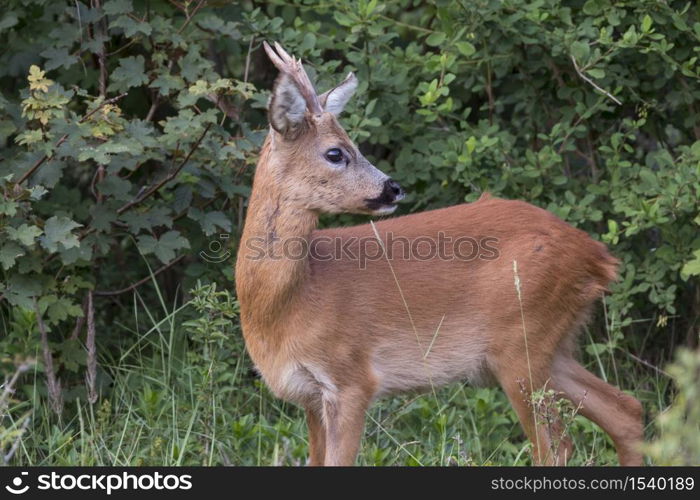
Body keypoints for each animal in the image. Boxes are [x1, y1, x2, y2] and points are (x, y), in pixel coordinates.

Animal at [237, 41, 644, 466]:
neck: (289, 302)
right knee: (625, 410)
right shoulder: (311, 398)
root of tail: (598, 257)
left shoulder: (352, 380)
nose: (393, 188)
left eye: (354, 145)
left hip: (523, 341)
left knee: (558, 446)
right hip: (551, 346)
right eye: (335, 153)